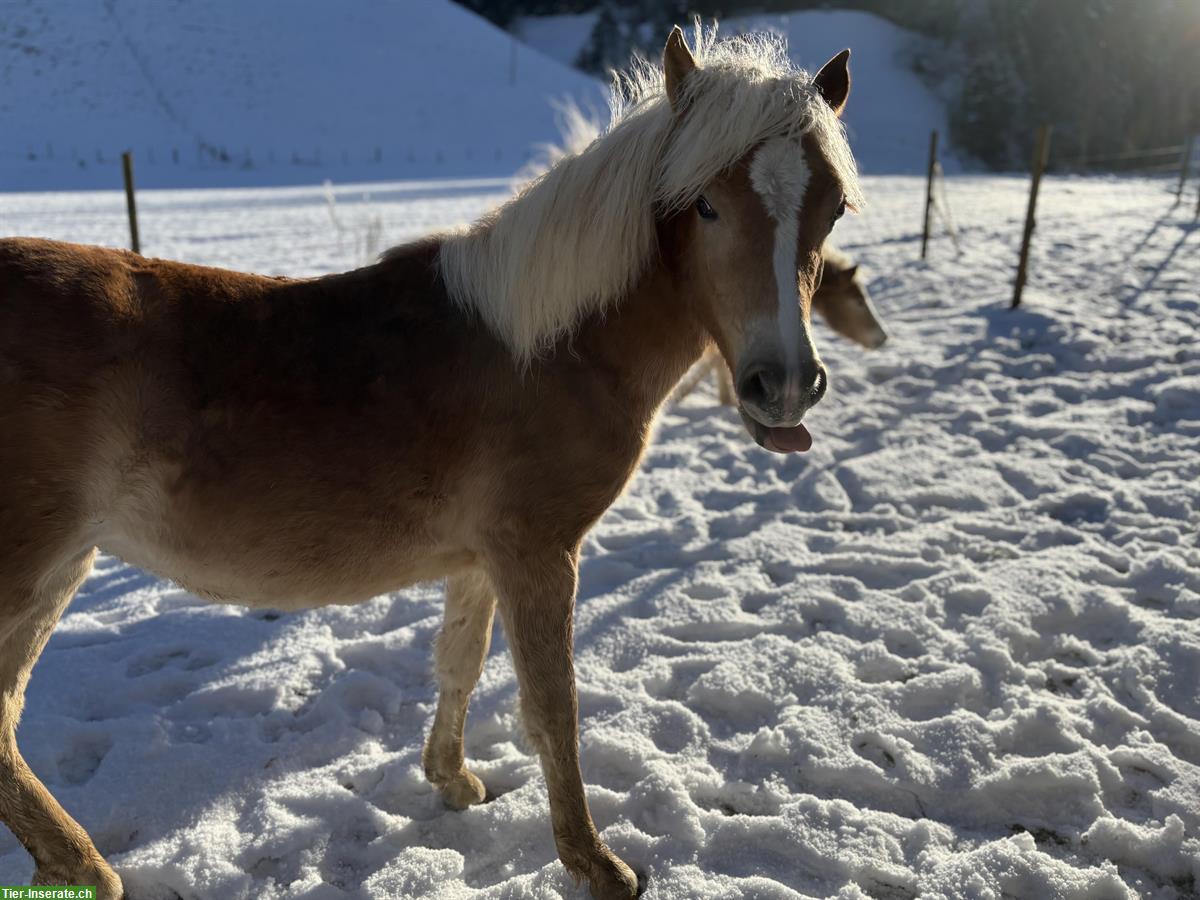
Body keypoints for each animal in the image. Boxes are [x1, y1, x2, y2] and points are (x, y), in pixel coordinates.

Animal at [0, 22, 864, 900]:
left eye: (831, 209)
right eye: (706, 204)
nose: (784, 387)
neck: (552, 351)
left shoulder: (483, 558)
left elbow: (461, 663)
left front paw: (452, 779)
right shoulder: (537, 554)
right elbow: (552, 707)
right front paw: (595, 862)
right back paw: (87, 867)